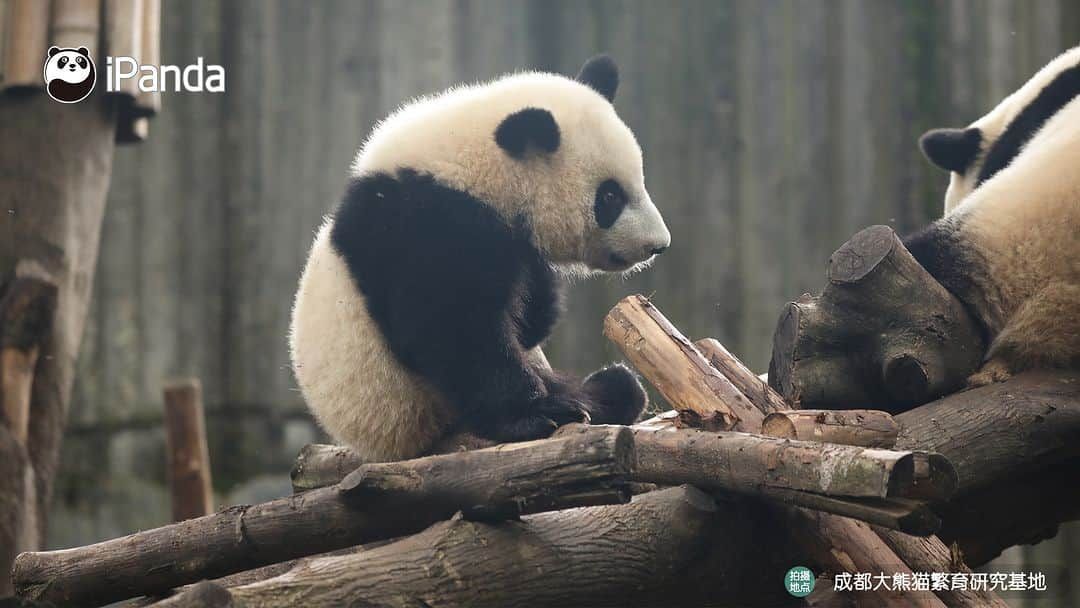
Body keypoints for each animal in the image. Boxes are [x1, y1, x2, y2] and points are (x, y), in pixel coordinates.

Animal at [291, 55, 669, 462]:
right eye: (610, 197)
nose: (658, 245)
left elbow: (529, 321)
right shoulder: (423, 226)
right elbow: (452, 330)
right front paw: (534, 416)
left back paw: (611, 391)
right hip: (402, 409)